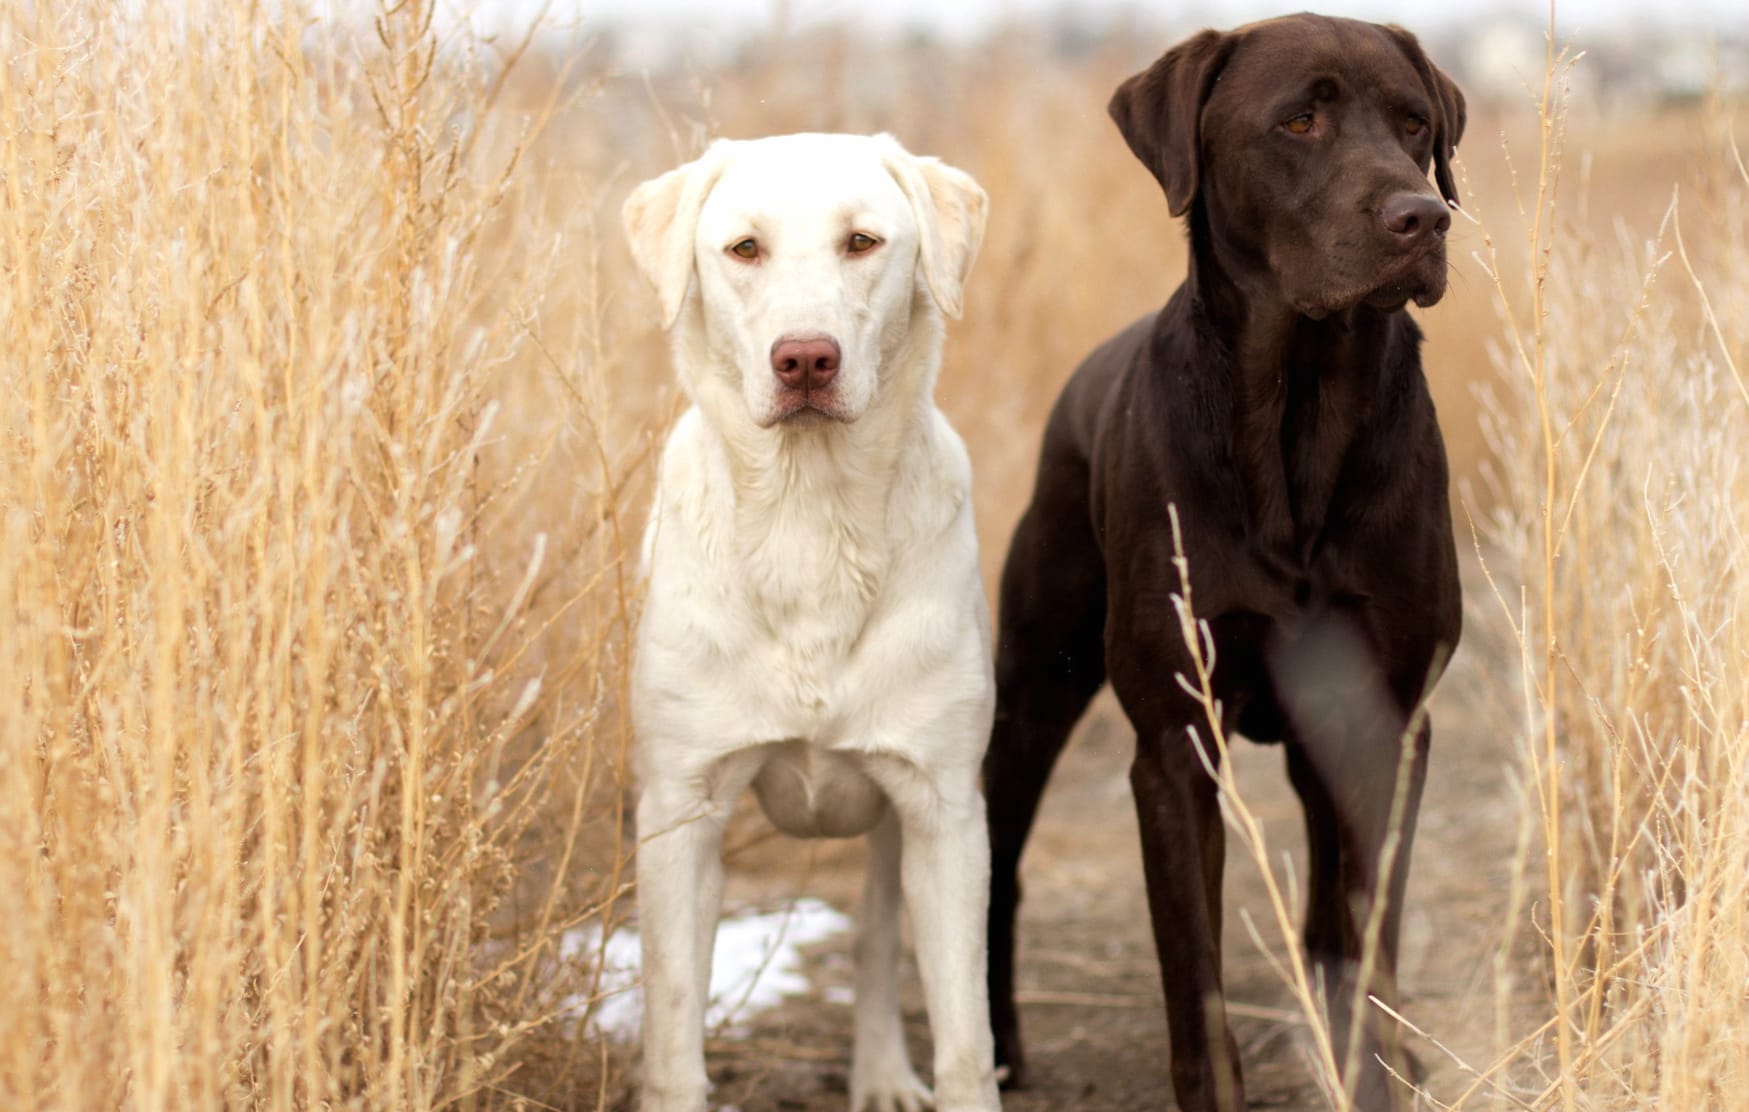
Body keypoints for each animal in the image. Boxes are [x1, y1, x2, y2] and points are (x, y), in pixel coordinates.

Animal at [622, 132, 1000, 1112]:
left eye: (862, 242)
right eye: (743, 249)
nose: (804, 360)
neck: (809, 518)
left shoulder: (945, 811)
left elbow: (964, 1039)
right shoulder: (680, 811)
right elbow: (671, 1029)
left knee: (875, 939)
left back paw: (881, 1074)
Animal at [986, 15, 1462, 1112]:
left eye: (1415, 125)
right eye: (1299, 121)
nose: (1423, 216)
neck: (1298, 412)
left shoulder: (1385, 720)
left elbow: (1368, 929)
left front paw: (1376, 1064)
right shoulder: (1172, 740)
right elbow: (1191, 967)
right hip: (1034, 689)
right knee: (995, 866)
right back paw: (994, 1044)